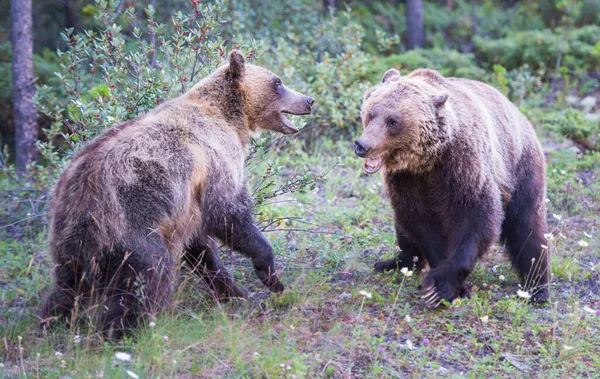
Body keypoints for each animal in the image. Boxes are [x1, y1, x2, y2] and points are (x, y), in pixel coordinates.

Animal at [38, 49, 314, 338]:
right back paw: (125, 331)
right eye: (278, 82)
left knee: (66, 287)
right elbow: (226, 212)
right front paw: (268, 272)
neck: (231, 116)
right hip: (129, 223)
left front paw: (238, 292)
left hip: (71, 236)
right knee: (150, 274)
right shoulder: (217, 158)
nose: (309, 100)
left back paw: (51, 323)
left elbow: (202, 248)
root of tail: (79, 189)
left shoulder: (186, 208)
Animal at [354, 68, 552, 308]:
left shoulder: (463, 168)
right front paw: (449, 286)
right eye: (371, 112)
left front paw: (441, 287)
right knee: (402, 227)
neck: (427, 162)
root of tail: (519, 113)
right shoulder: (407, 182)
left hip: (520, 167)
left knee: (527, 225)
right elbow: (420, 224)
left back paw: (537, 288)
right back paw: (395, 263)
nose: (362, 145)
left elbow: (476, 218)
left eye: (393, 121)